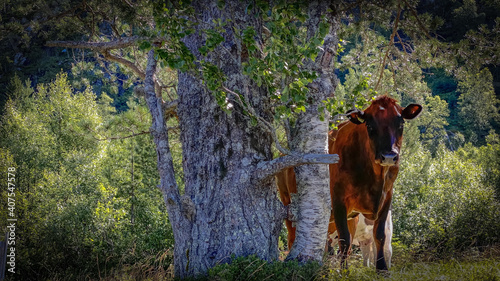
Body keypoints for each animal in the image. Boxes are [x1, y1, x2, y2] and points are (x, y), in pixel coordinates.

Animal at [276, 94, 420, 272]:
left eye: (401, 124)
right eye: (369, 125)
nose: (388, 156)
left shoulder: (386, 198)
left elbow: (379, 236)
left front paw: (382, 270)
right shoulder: (338, 201)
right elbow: (344, 240)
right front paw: (343, 273)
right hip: (288, 204)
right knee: (293, 238)